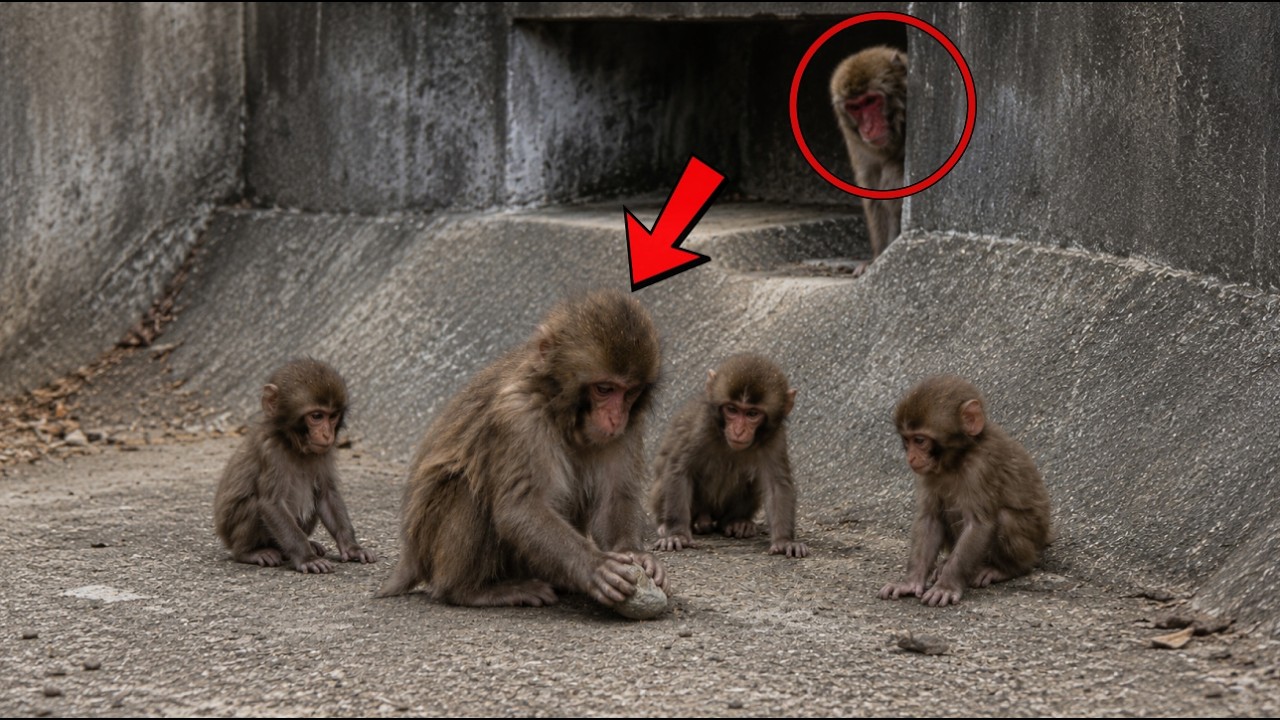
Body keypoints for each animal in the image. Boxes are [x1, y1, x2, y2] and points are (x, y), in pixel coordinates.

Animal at [213, 359, 377, 573]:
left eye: (332, 416)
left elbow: (326, 495)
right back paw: (250, 552)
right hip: (234, 535)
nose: (327, 434)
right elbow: (271, 504)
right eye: (316, 416)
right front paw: (307, 558)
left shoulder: (323, 453)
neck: (292, 444)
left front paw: (352, 547)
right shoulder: (271, 452)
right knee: (254, 505)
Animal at [376, 289, 667, 608]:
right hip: (431, 540)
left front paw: (637, 555)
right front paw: (594, 567)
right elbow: (520, 506)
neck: (561, 415)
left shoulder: (628, 429)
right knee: (470, 488)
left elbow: (615, 498)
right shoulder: (519, 417)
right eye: (604, 389)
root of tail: (412, 554)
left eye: (630, 392)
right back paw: (469, 590)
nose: (616, 418)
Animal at [650, 353, 808, 558]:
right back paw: (669, 525)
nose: (739, 431)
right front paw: (677, 534)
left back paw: (736, 522)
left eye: (752, 413)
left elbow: (776, 484)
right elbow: (679, 469)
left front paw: (784, 541)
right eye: (732, 409)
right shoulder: (701, 426)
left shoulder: (775, 438)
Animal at [831, 45, 907, 269]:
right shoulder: (857, 143)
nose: (868, 128)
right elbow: (873, 190)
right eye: (855, 107)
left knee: (893, 171)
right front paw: (878, 259)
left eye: (871, 101)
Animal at [879, 375, 1051, 607]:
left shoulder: (981, 468)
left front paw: (946, 585)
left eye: (920, 440)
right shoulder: (929, 473)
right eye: (907, 440)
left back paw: (1005, 569)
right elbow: (930, 519)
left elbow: (979, 524)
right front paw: (911, 582)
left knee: (1005, 518)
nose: (911, 457)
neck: (957, 459)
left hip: (1032, 542)